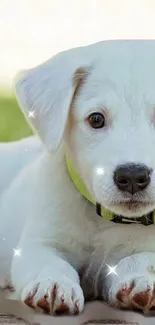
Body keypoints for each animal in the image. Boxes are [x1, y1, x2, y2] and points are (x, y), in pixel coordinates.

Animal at [0, 39, 155, 314]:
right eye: (96, 119)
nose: (132, 176)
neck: (106, 221)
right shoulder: (38, 244)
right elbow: (51, 262)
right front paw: (52, 283)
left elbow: (143, 258)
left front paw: (139, 278)